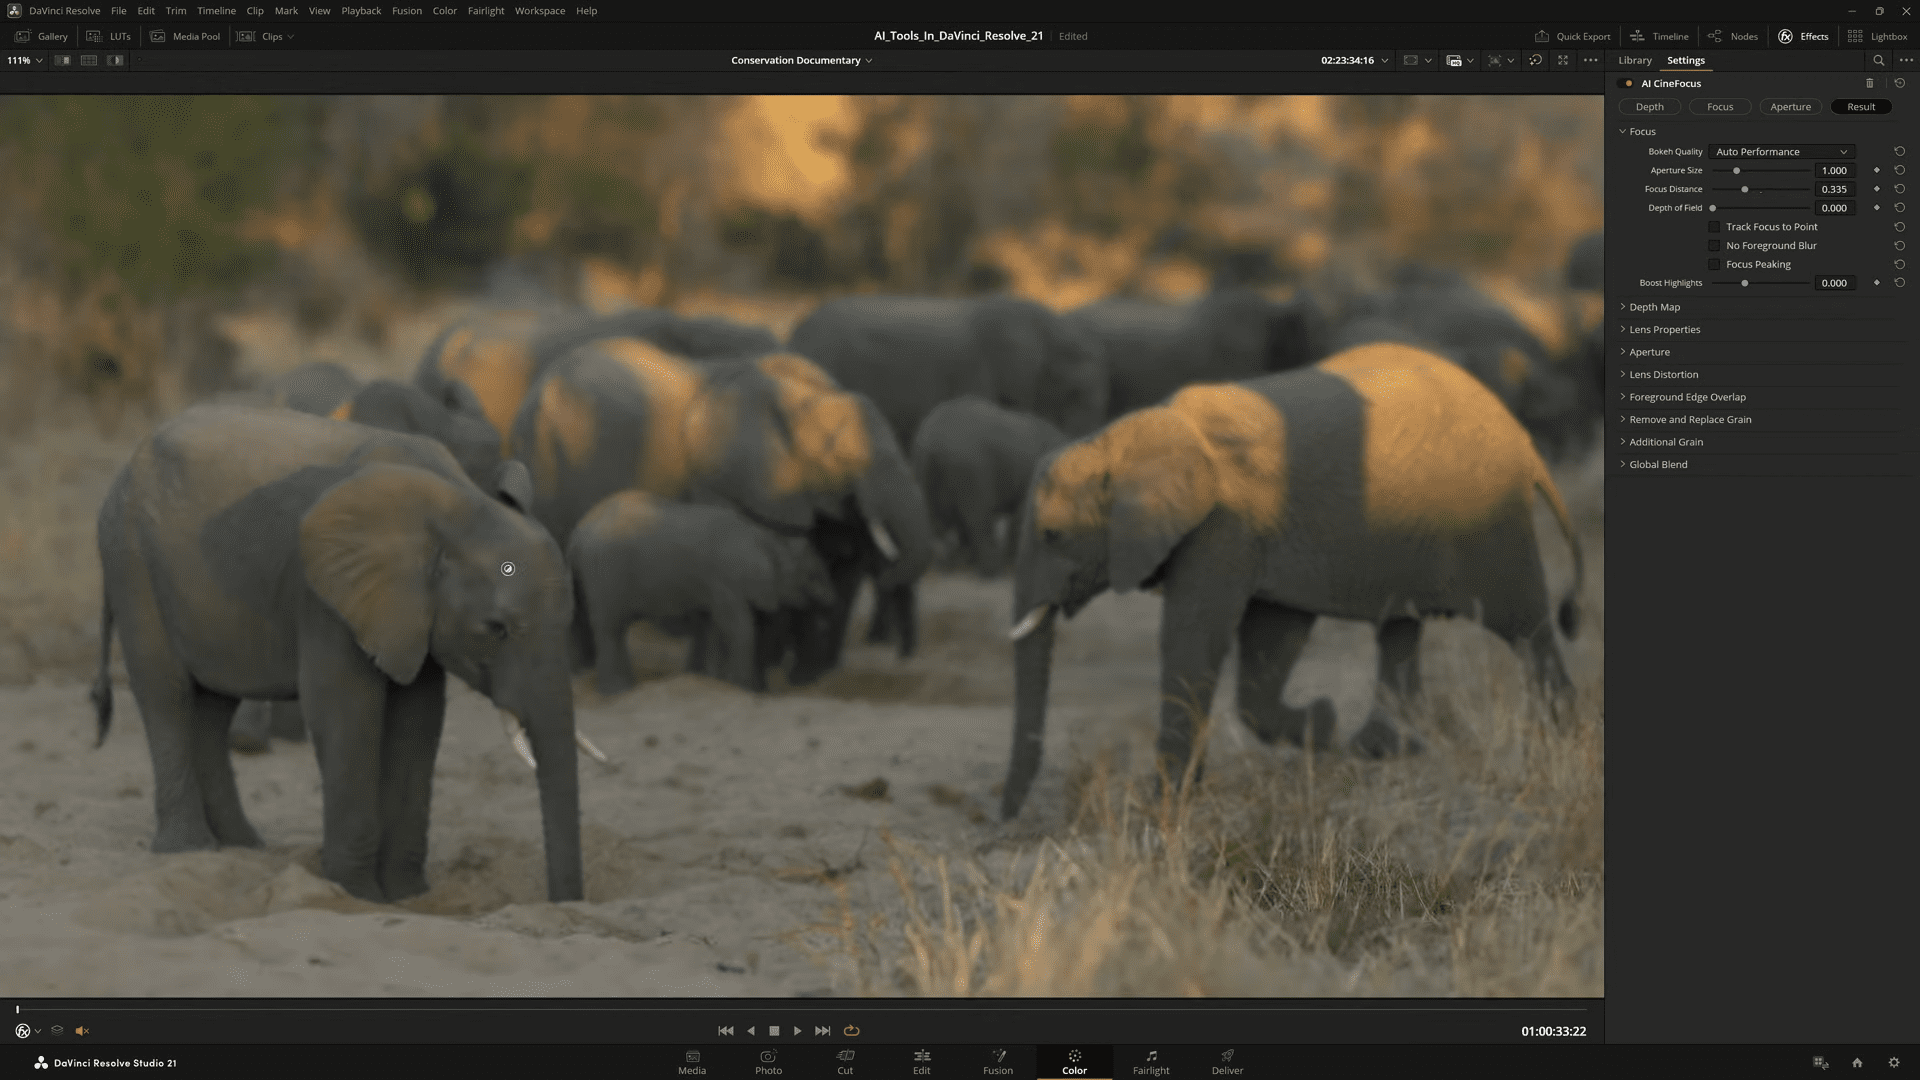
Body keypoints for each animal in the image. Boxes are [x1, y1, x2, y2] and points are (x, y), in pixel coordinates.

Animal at [91, 405, 587, 903]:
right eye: (496, 629)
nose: (560, 902)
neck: (458, 500)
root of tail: (123, 470)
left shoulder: (412, 614)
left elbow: (419, 717)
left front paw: (407, 895)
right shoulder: (326, 598)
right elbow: (346, 707)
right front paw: (357, 893)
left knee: (214, 706)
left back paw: (241, 846)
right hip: (132, 560)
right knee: (167, 694)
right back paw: (188, 849)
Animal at [567, 490, 838, 695]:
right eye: (813, 575)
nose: (830, 603)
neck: (766, 536)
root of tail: (577, 533)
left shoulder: (712, 585)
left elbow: (714, 625)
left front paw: (716, 682)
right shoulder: (725, 579)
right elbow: (738, 625)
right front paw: (742, 688)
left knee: (616, 630)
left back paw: (627, 689)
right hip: (604, 575)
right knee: (610, 630)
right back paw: (615, 692)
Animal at [910, 395, 1068, 577]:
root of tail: (932, 446)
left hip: (926, 474)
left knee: (940, 521)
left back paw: (950, 564)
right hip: (972, 473)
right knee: (977, 519)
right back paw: (989, 571)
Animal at [1000, 342, 1585, 821]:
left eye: (1052, 535)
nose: (1003, 820)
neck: (1121, 439)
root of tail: (1522, 439)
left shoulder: (1225, 526)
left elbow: (1196, 636)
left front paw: (1167, 805)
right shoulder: (1259, 531)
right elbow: (1271, 638)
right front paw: (1322, 726)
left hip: (1492, 524)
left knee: (1524, 626)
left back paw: (1563, 741)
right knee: (1399, 627)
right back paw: (1383, 750)